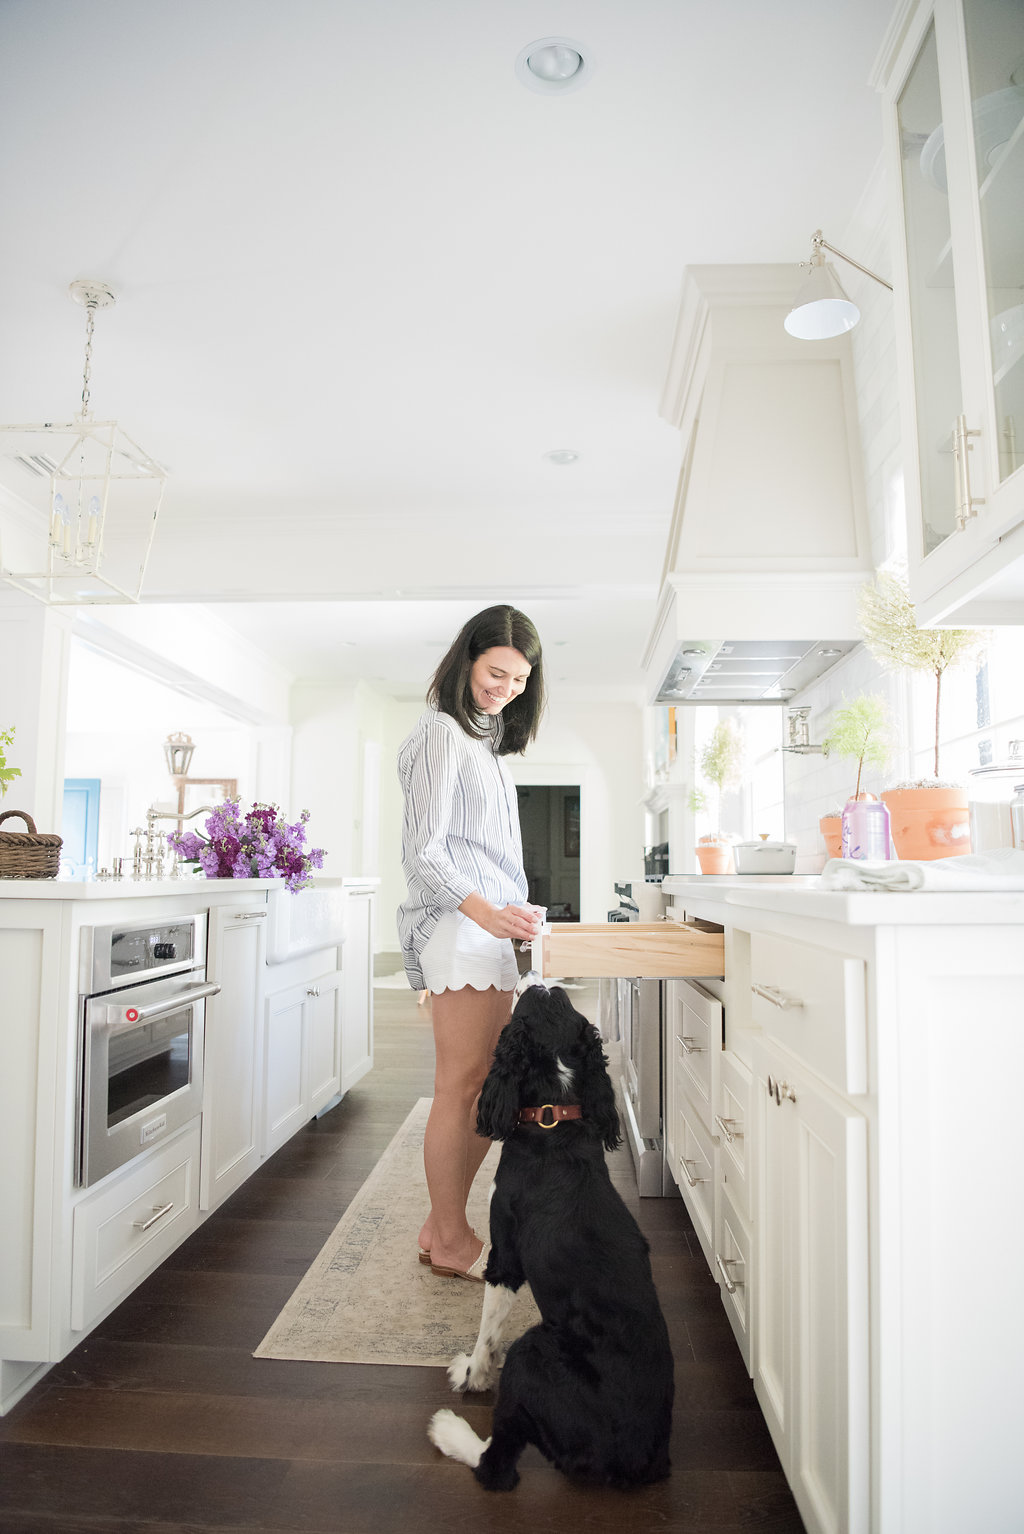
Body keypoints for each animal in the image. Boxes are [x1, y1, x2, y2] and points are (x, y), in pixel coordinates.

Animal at [429, 981, 674, 1484]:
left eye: (529, 1002)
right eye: (556, 1001)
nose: (533, 979)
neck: (552, 1115)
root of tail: (634, 1457)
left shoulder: (504, 1257)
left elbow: (488, 1330)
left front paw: (472, 1373)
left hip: (532, 1348)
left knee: (497, 1465)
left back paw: (448, 1429)